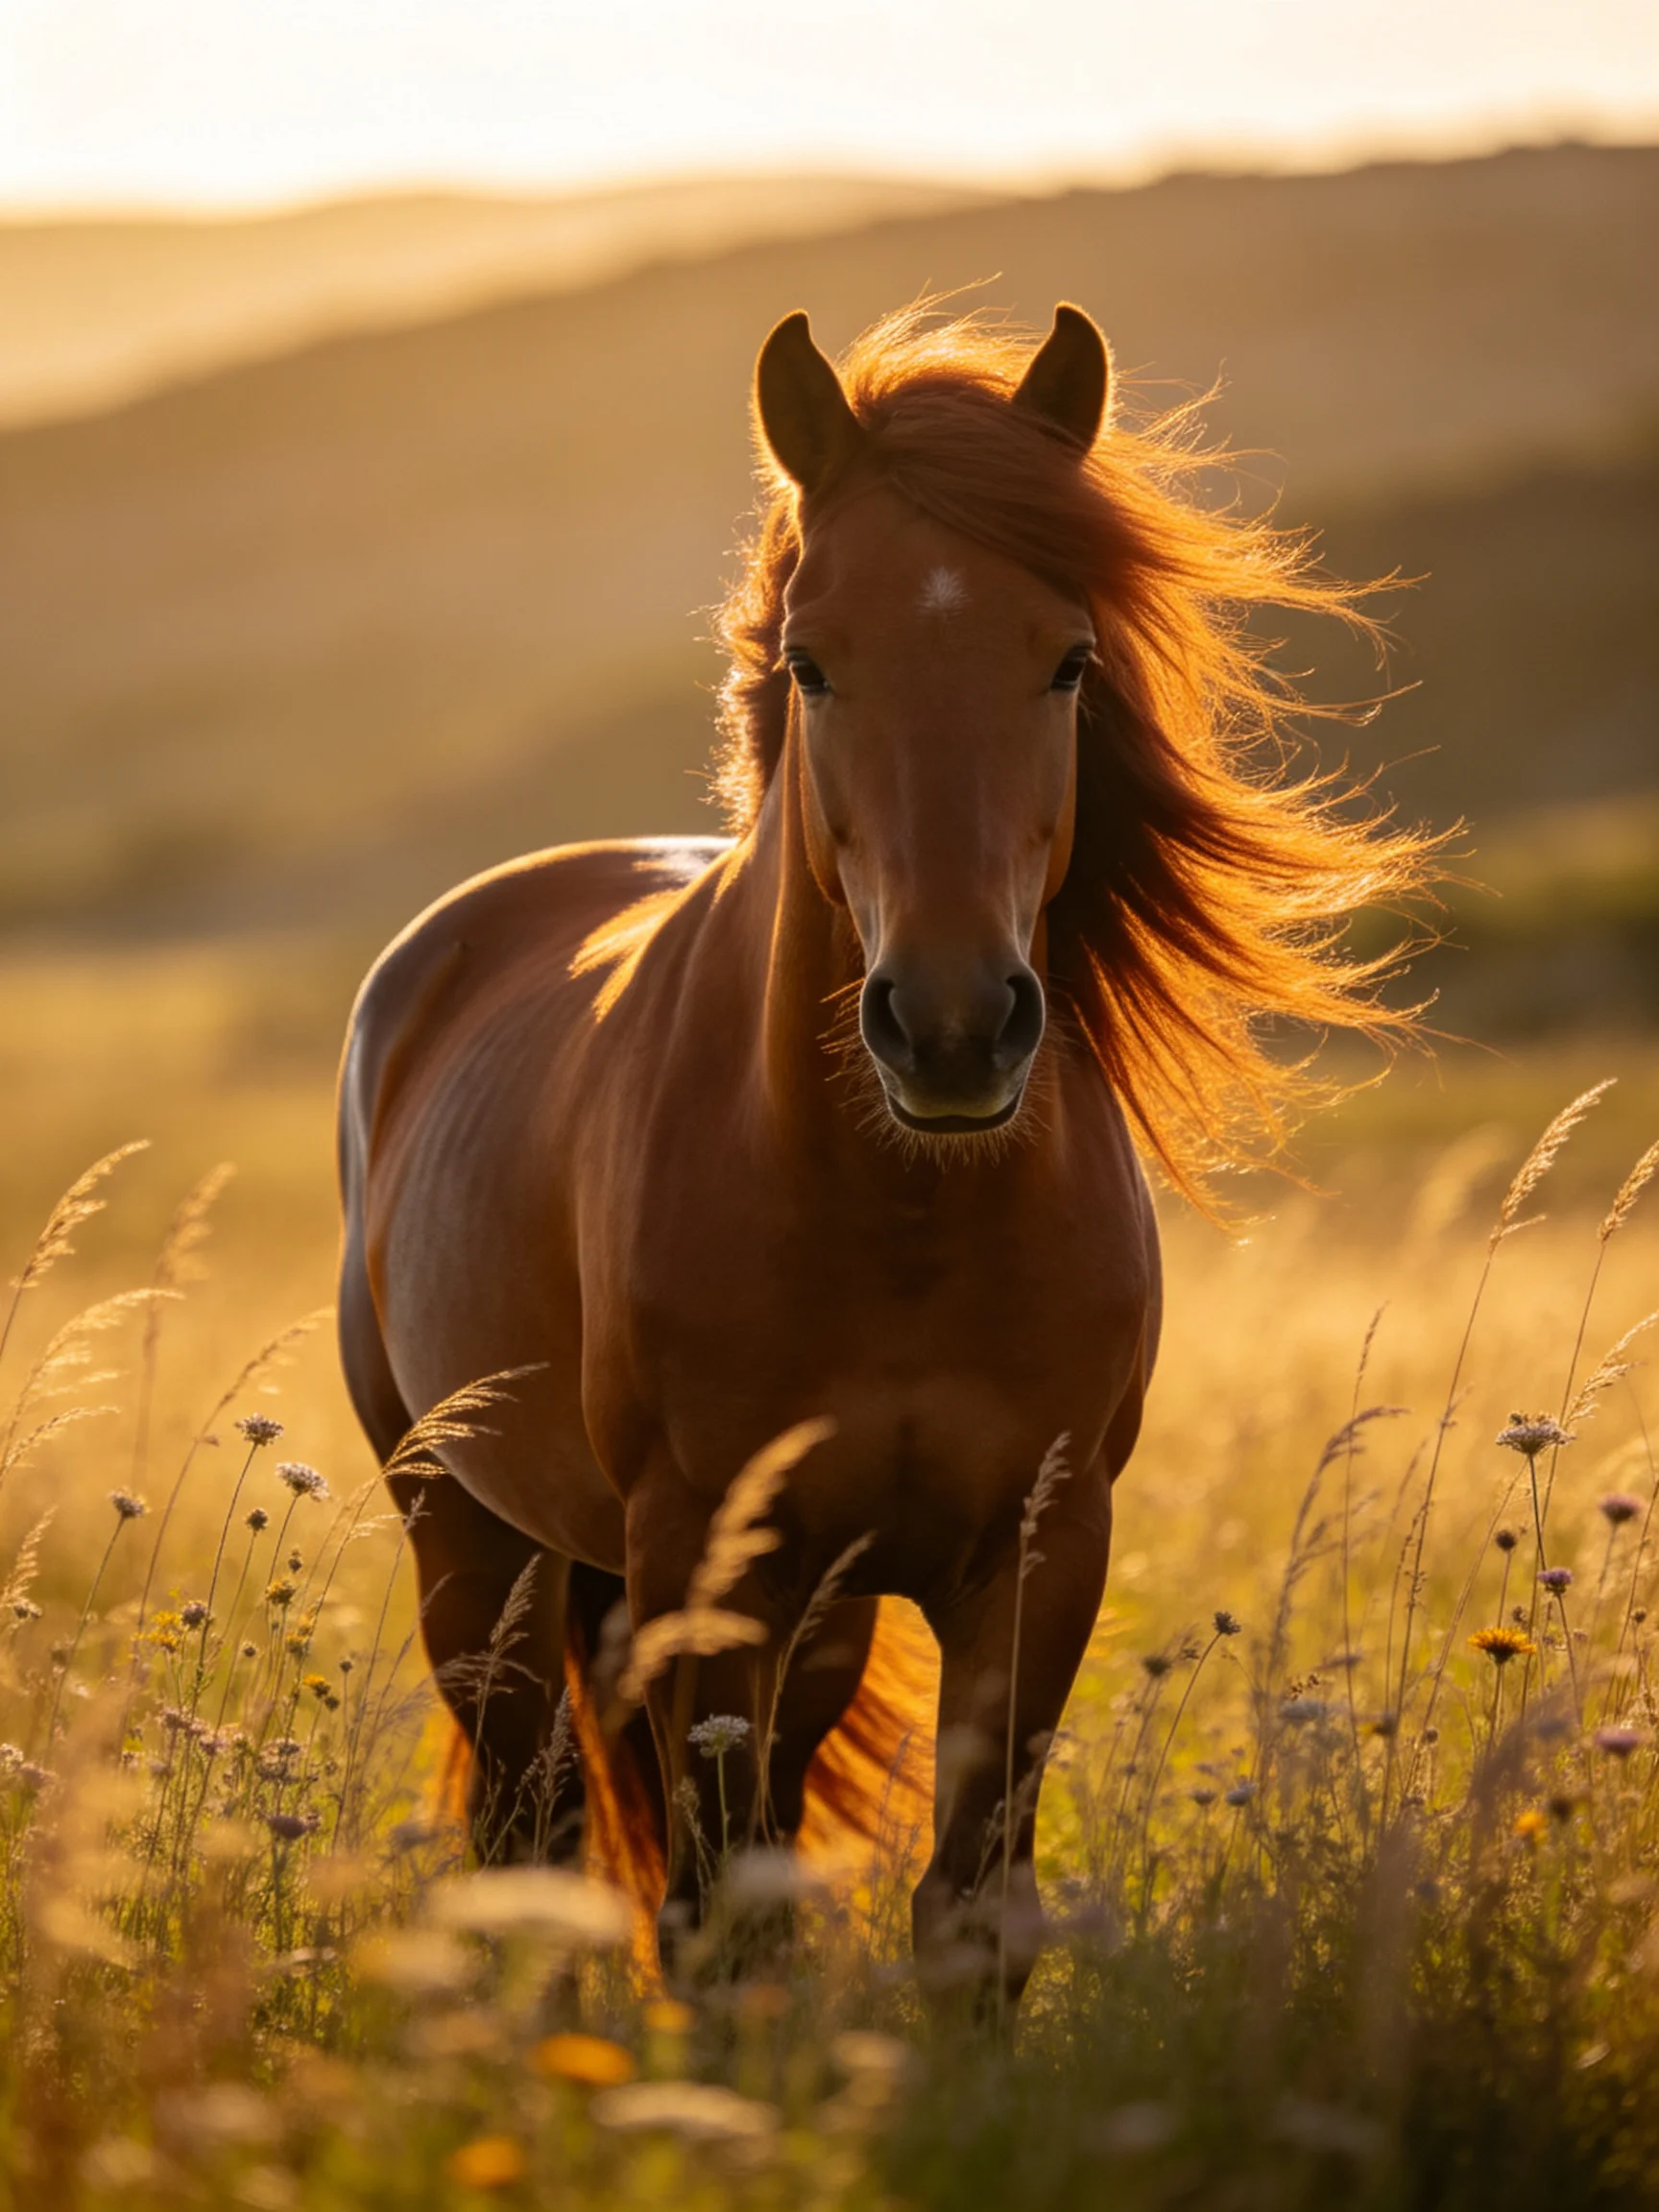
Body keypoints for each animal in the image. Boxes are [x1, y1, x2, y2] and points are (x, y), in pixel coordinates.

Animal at [337, 299, 1436, 2012]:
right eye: (813, 663)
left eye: (1069, 659)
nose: (953, 1027)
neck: (896, 1221)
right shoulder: (706, 1565)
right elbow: (712, 1919)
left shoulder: (1036, 1557)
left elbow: (967, 1908)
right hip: (471, 1542)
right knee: (538, 1833)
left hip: (806, 1614)